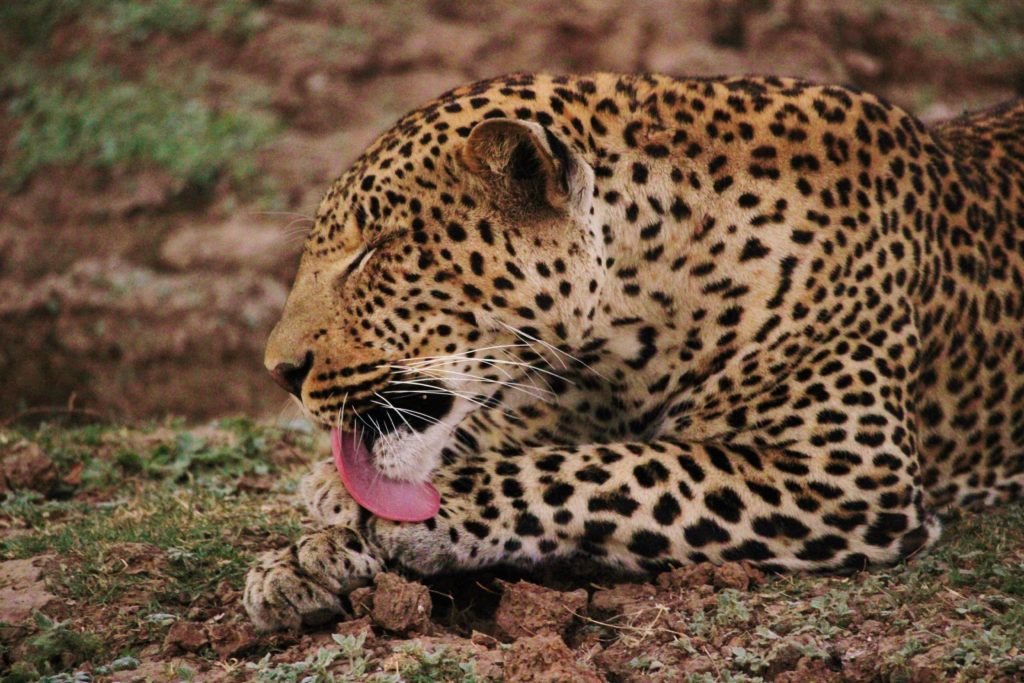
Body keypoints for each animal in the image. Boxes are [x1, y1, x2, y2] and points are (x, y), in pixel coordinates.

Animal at [244, 72, 1024, 631]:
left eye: (372, 253)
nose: (279, 372)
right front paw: (304, 558)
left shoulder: (846, 471)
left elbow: (609, 468)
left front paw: (407, 515)